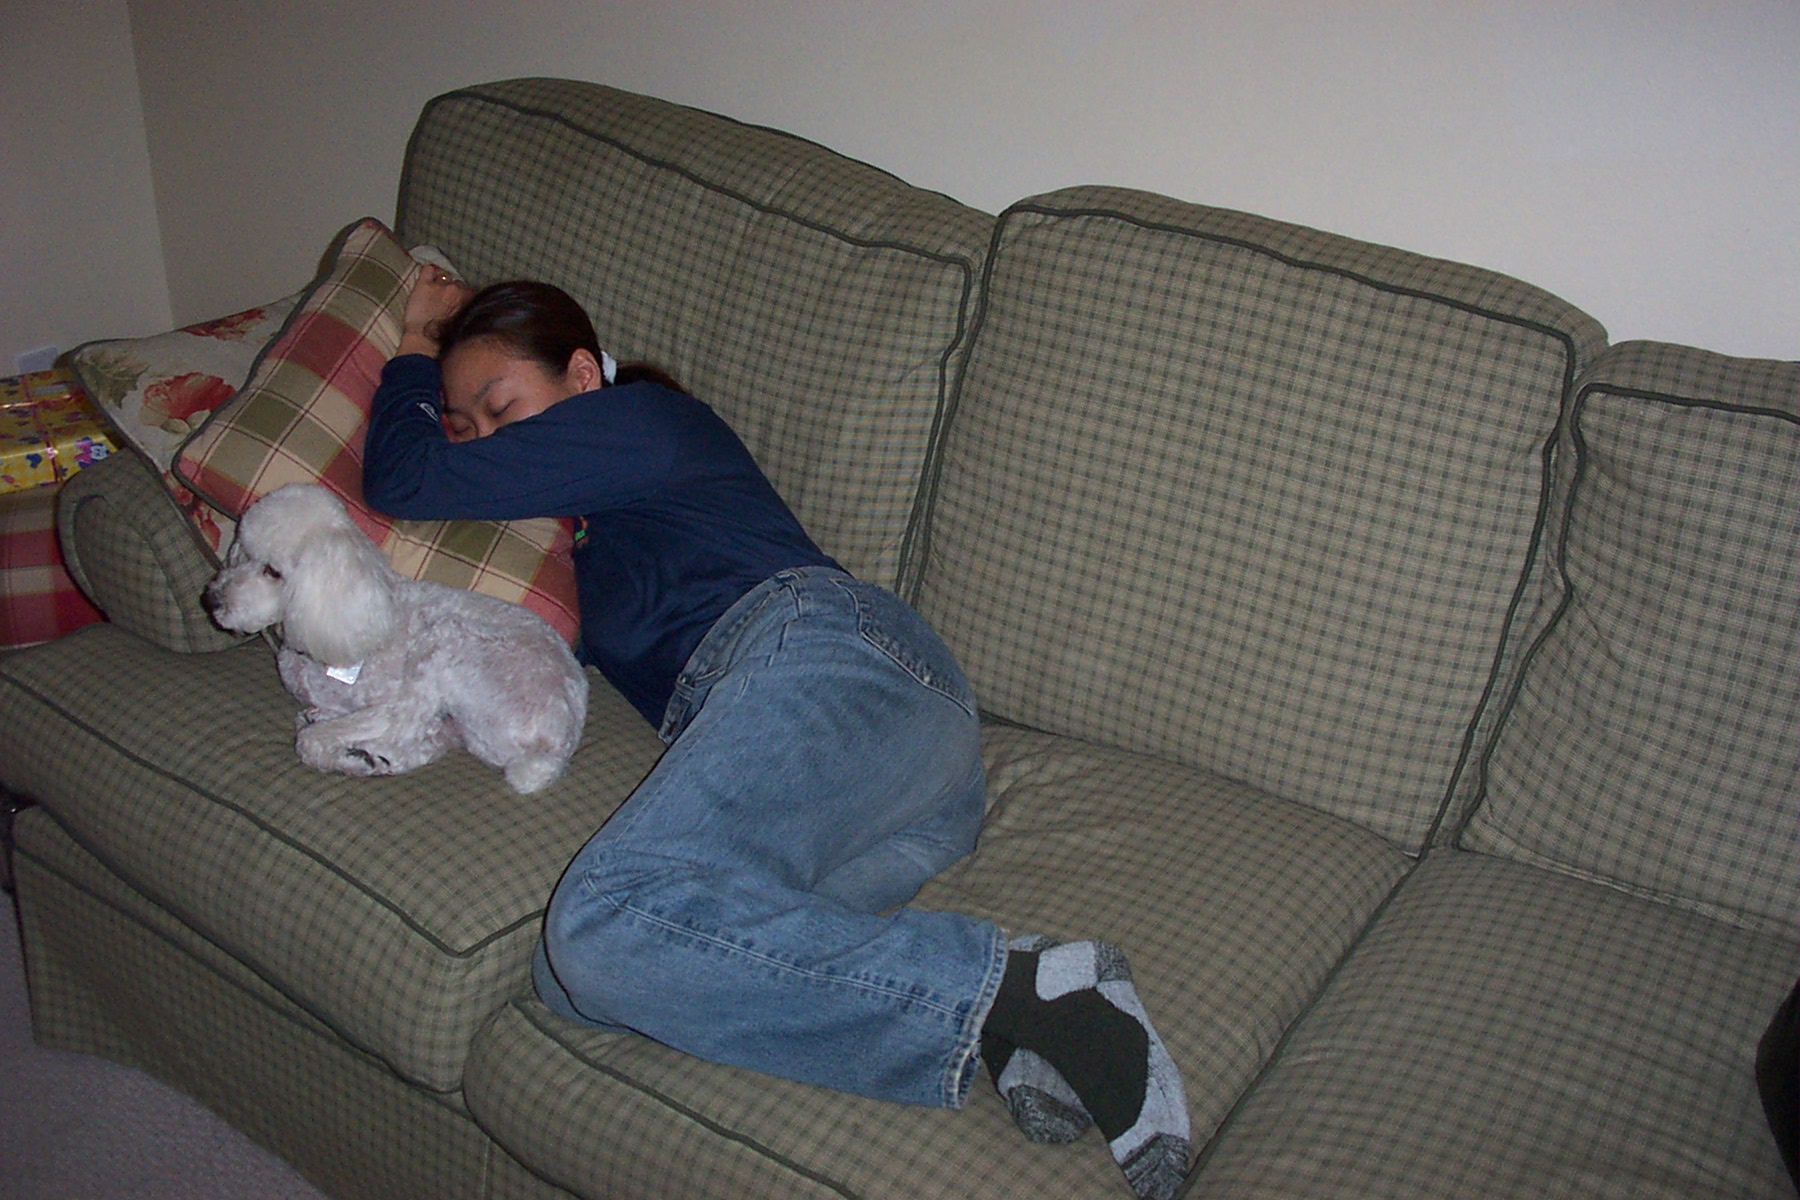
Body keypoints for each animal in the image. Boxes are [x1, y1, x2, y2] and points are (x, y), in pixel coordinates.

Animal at [203, 484, 587, 794]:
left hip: (447, 641)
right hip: (466, 728)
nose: (212, 601)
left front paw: (338, 747)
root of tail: (555, 746)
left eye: (273, 572)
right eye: (243, 551)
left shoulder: (383, 700)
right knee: (423, 740)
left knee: (404, 723)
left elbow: (318, 738)